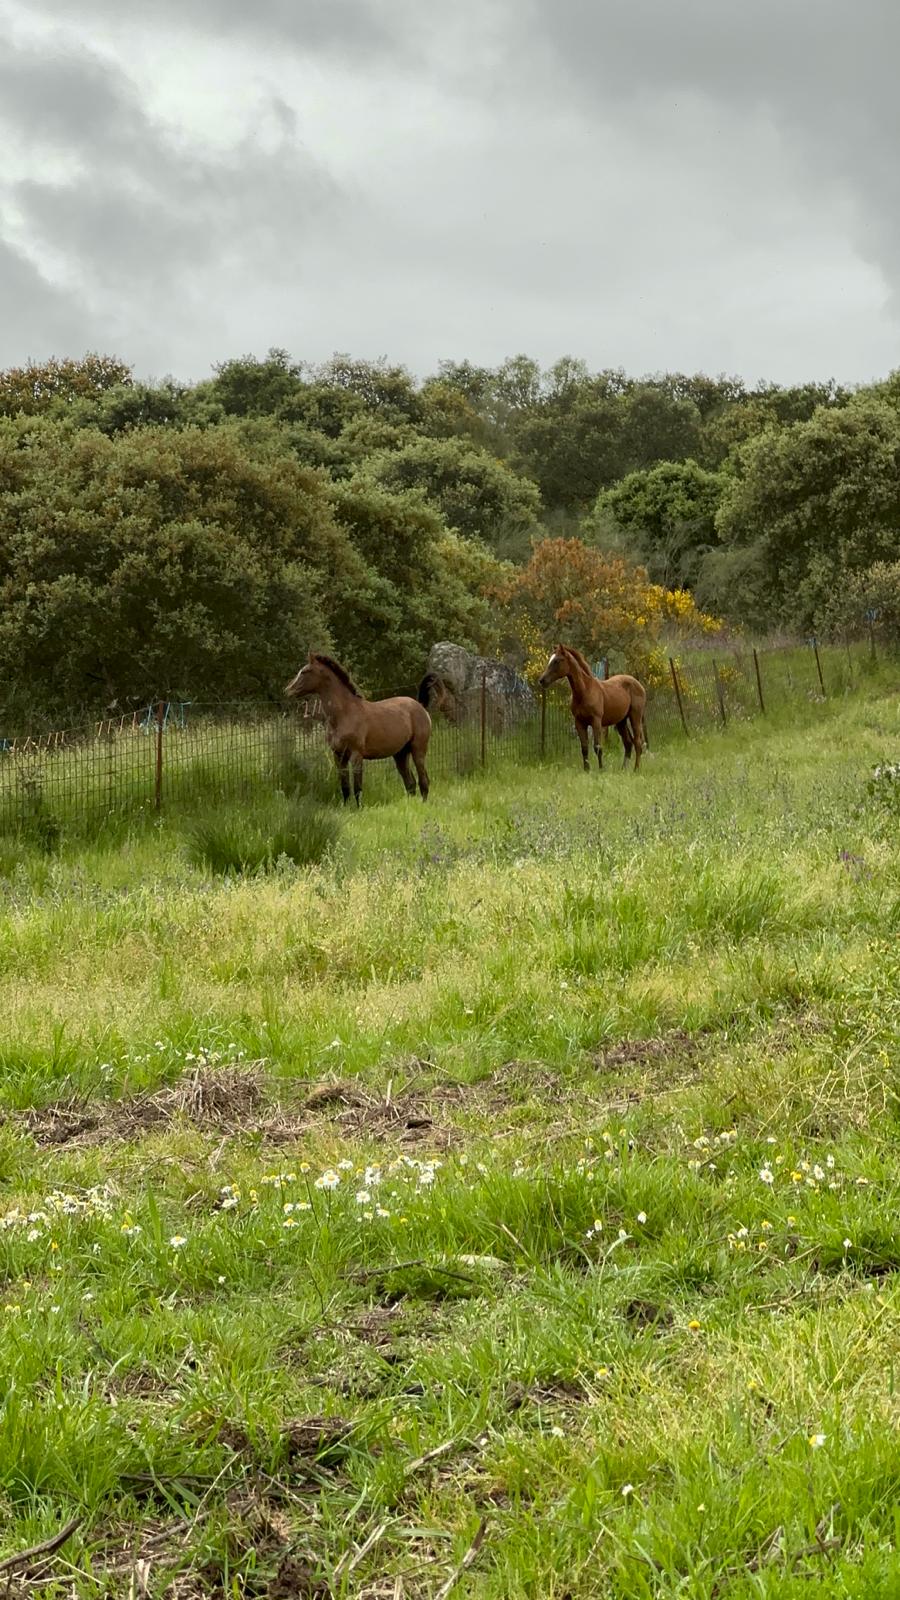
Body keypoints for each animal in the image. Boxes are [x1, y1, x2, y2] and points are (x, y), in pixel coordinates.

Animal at [285, 653, 432, 804]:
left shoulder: (356, 755)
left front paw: (358, 807)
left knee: (423, 780)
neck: (344, 714)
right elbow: (344, 786)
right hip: (400, 754)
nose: (288, 691)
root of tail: (421, 707)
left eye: (305, 671)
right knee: (410, 783)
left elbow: (357, 787)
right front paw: (345, 807)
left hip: (418, 749)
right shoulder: (339, 756)